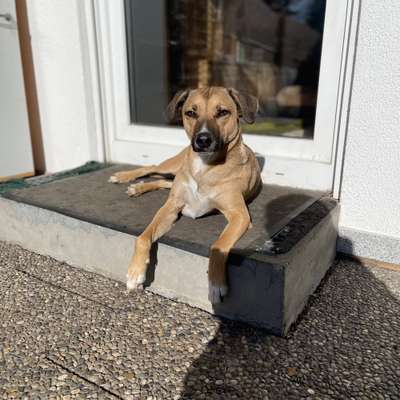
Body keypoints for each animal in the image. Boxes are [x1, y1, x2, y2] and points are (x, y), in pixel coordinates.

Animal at [108, 87, 260, 304]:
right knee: (152, 167)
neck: (204, 167)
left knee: (162, 181)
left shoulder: (239, 215)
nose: (203, 140)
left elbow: (218, 245)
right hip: (172, 165)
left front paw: (215, 284)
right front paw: (135, 272)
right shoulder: (170, 207)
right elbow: (143, 237)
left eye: (223, 112)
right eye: (190, 113)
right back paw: (124, 177)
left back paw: (137, 188)